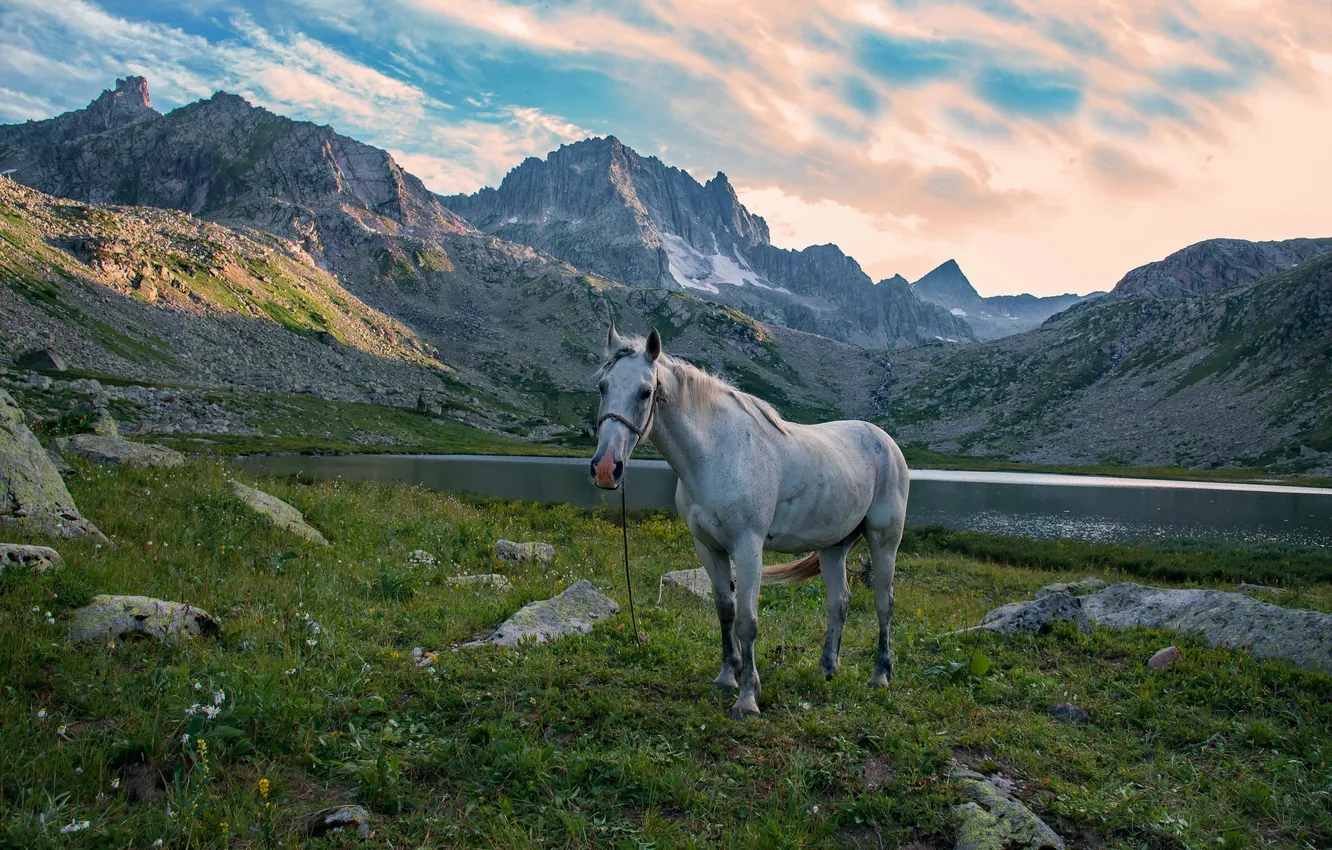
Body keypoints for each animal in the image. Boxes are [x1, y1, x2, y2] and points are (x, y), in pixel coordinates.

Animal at [590, 323, 910, 719]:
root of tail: (885, 441)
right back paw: (826, 669)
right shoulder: (708, 547)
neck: (717, 453)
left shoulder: (747, 547)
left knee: (884, 603)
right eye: (603, 386)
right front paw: (728, 678)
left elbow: (747, 621)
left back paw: (880, 675)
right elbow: (725, 612)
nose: (606, 468)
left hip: (885, 540)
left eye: (645, 391)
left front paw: (747, 699)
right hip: (834, 547)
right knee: (840, 602)